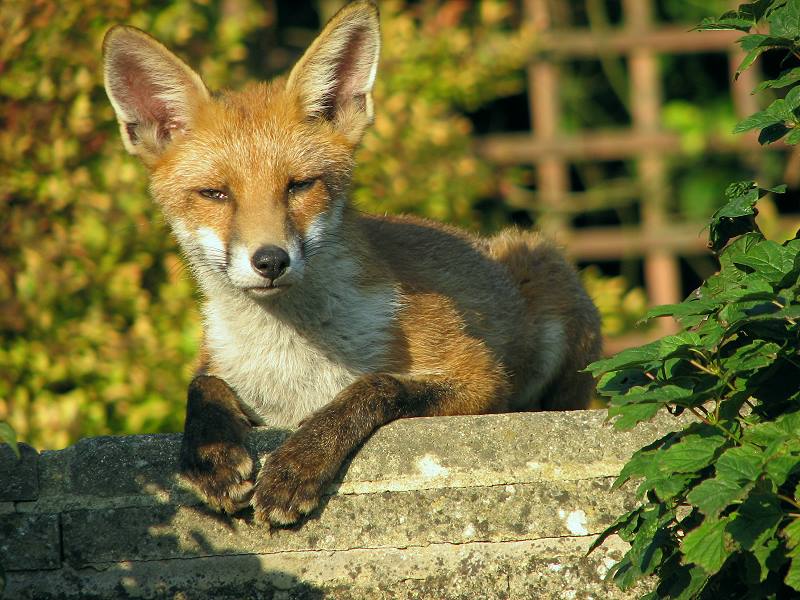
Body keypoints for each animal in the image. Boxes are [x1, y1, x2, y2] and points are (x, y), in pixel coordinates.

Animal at [101, 0, 600, 524]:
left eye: (299, 185)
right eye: (215, 194)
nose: (270, 260)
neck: (293, 362)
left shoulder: (479, 376)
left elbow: (376, 386)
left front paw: (301, 461)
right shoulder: (222, 365)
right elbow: (202, 385)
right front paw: (210, 455)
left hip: (544, 273)